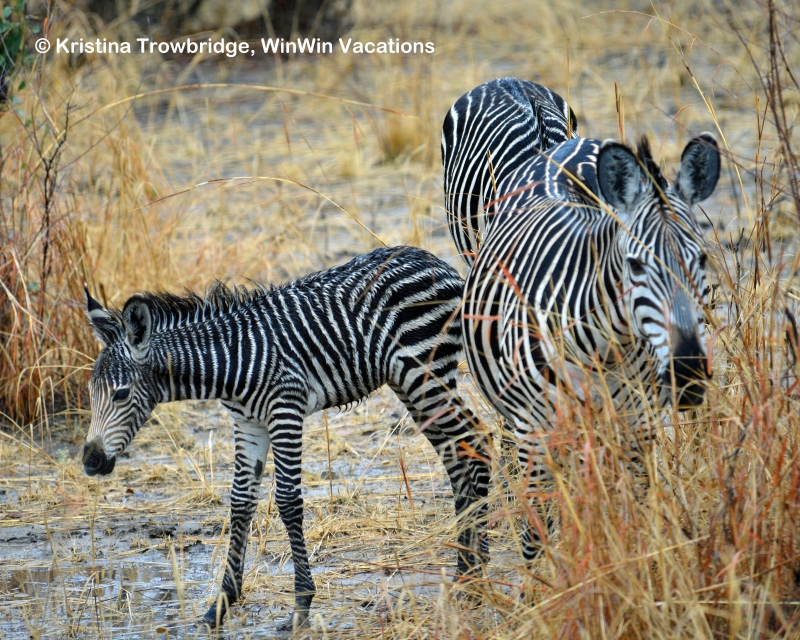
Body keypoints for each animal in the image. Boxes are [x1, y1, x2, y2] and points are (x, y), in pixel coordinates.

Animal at [81, 246, 491, 629]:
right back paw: (467, 571)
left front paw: (301, 606)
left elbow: (288, 501)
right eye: (89, 392)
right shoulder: (247, 424)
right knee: (458, 455)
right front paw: (221, 604)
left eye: (120, 394)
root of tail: (433, 259)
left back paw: (477, 571)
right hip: (410, 384)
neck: (229, 362)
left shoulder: (286, 408)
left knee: (479, 443)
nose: (90, 461)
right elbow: (240, 503)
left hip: (426, 374)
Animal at [460, 133, 720, 561]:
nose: (687, 371)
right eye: (634, 265)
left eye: (701, 258)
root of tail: (571, 142)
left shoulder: (638, 424)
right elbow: (536, 537)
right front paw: (549, 579)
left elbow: (636, 517)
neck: (606, 347)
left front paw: (634, 568)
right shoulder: (535, 433)